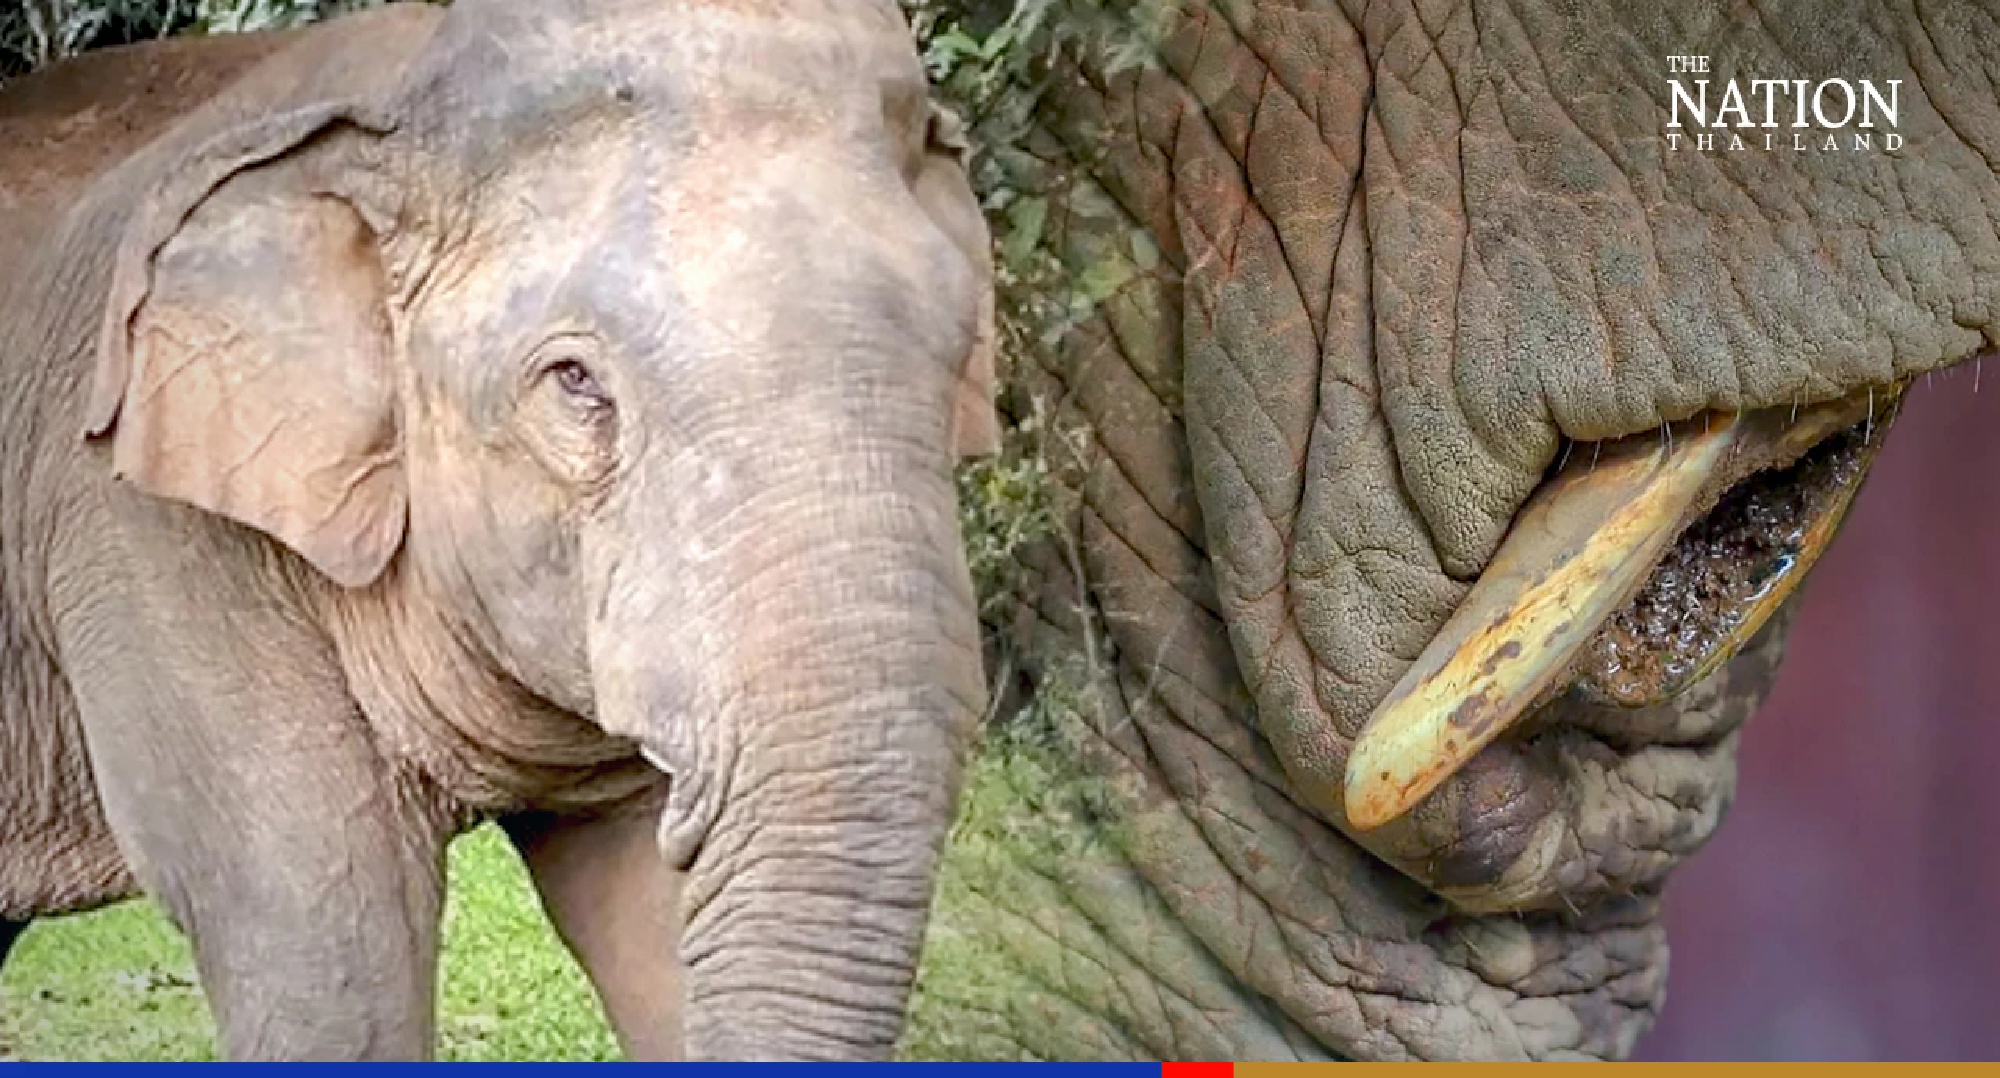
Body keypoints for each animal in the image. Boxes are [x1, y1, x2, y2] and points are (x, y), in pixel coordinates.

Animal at [0, 0, 998, 1062]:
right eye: (575, 382)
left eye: (958, 350)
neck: (395, 75)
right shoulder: (144, 539)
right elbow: (328, 957)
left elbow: (644, 923)